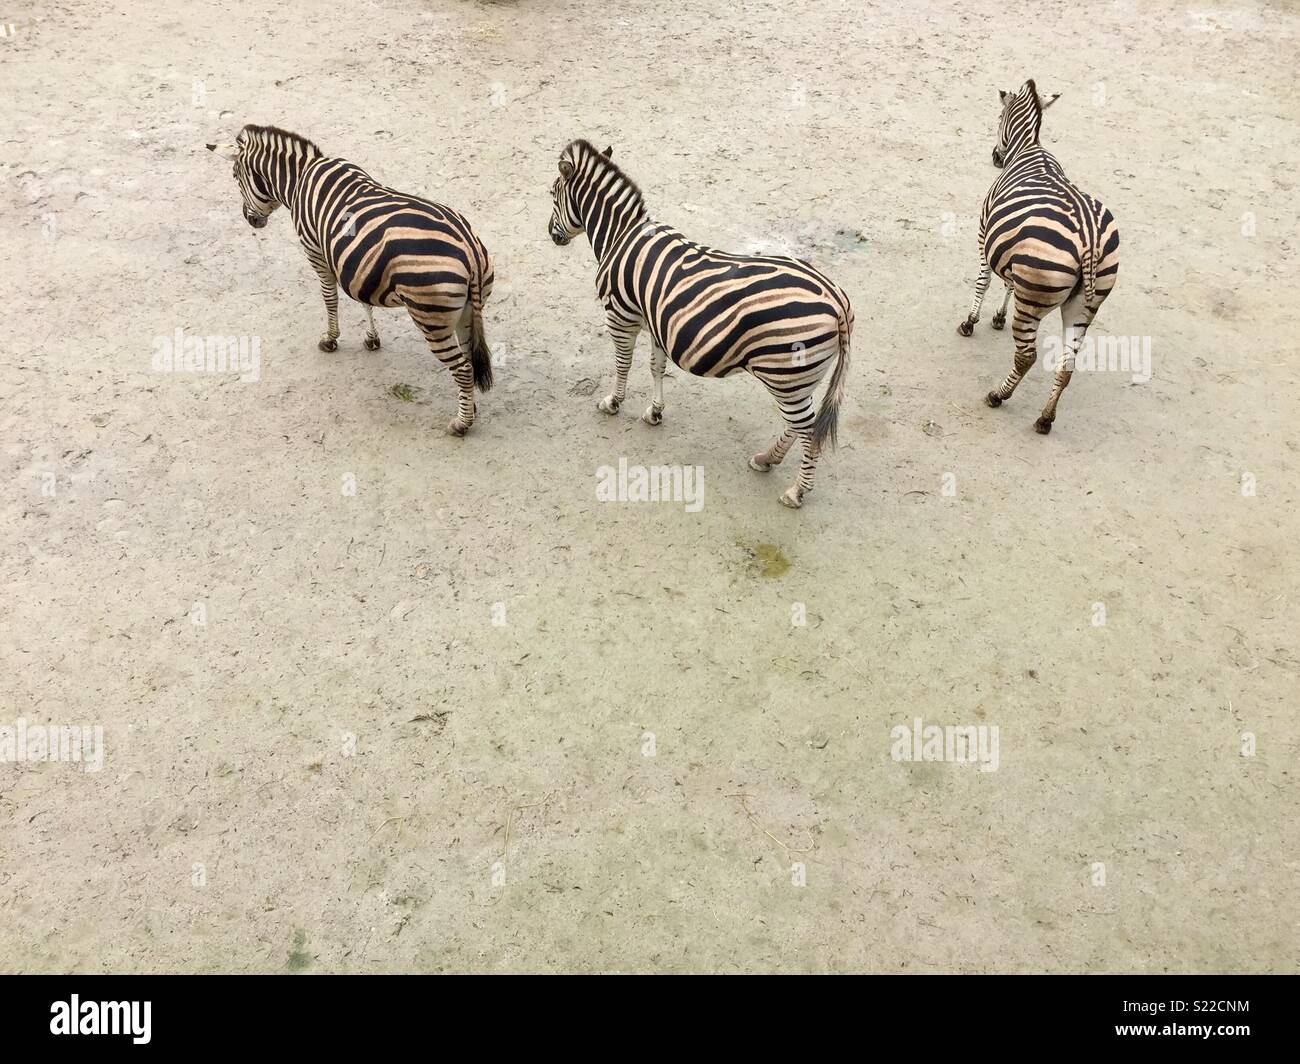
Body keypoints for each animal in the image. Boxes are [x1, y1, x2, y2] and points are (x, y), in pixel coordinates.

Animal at [206, 125, 494, 436]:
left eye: (235, 177)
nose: (251, 221)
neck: (300, 177)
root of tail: (468, 248)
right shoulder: (355, 263)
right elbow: (363, 300)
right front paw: (371, 338)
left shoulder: (315, 249)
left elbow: (330, 298)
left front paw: (330, 339)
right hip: (465, 310)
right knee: (469, 359)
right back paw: (470, 408)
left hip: (431, 317)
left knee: (463, 369)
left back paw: (461, 424)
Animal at [548, 140, 853, 508]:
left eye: (552, 194)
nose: (551, 235)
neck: (620, 235)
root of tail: (837, 302)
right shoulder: (656, 320)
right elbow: (656, 367)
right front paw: (654, 412)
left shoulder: (621, 313)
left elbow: (623, 364)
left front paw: (613, 403)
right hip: (798, 380)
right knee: (798, 426)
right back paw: (766, 459)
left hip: (786, 375)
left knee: (806, 429)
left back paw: (796, 491)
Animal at [956, 80, 1119, 433]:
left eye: (999, 117)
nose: (995, 158)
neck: (1029, 147)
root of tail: (1090, 238)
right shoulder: (1012, 247)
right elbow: (1007, 283)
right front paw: (998, 316)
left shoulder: (984, 230)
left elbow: (984, 280)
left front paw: (971, 321)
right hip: (1084, 304)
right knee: (1067, 365)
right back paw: (1045, 418)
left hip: (1034, 297)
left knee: (1026, 356)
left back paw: (998, 395)